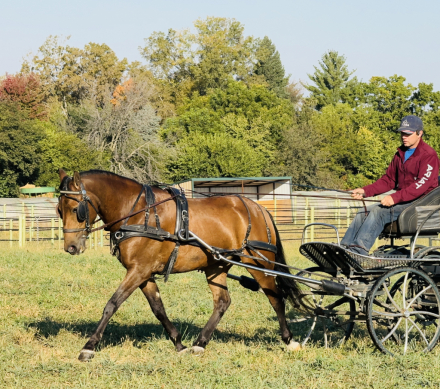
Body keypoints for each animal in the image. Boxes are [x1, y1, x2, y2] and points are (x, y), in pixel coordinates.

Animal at [56, 168, 304, 360]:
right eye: (59, 210)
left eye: (76, 210)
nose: (71, 247)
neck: (139, 214)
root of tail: (259, 208)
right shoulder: (144, 274)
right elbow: (158, 309)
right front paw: (179, 344)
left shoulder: (139, 271)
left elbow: (112, 304)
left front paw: (89, 347)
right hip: (216, 267)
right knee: (222, 302)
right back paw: (200, 343)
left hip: (258, 263)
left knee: (276, 298)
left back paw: (289, 340)